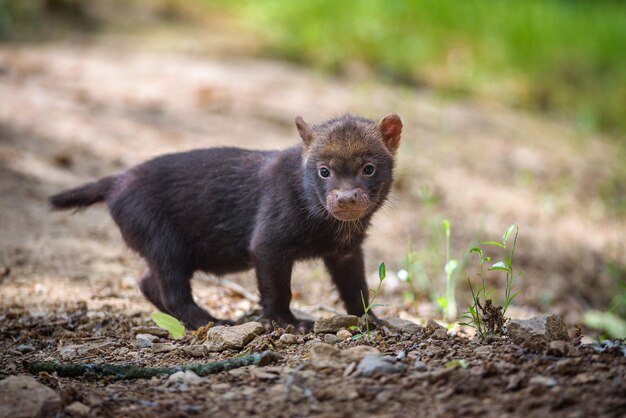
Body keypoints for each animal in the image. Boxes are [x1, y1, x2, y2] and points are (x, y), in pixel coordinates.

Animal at [47, 113, 400, 330]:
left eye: (369, 168)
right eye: (324, 170)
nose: (346, 198)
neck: (330, 227)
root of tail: (118, 180)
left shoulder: (347, 253)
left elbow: (356, 289)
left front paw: (372, 321)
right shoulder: (268, 245)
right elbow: (277, 291)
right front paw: (290, 323)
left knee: (148, 282)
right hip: (166, 245)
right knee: (172, 291)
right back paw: (213, 321)